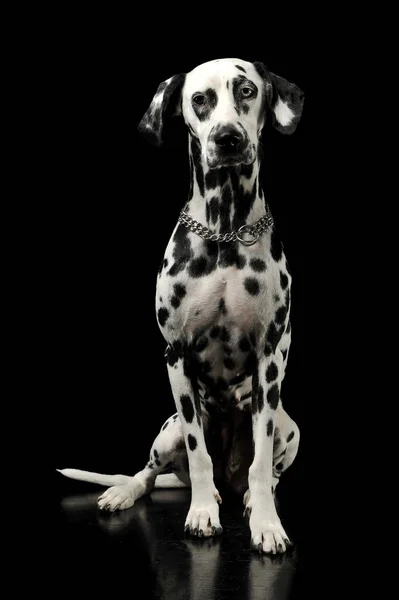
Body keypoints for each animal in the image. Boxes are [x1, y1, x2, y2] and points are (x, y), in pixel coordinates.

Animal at [57, 58, 304, 556]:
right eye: (200, 99)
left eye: (247, 90)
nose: (227, 139)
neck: (225, 231)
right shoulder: (177, 357)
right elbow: (198, 450)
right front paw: (203, 513)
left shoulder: (271, 359)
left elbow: (261, 462)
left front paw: (267, 523)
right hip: (166, 429)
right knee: (152, 472)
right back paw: (128, 491)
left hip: (290, 428)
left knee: (264, 471)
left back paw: (250, 496)